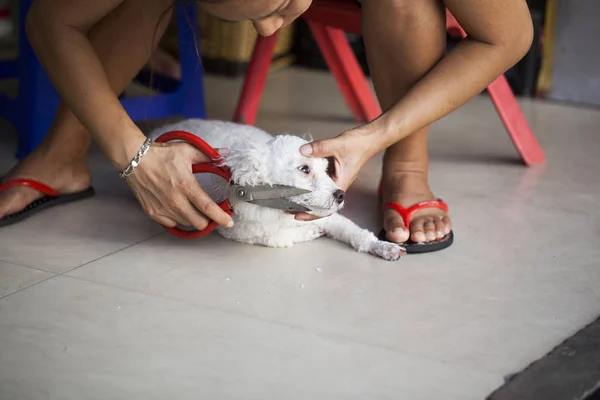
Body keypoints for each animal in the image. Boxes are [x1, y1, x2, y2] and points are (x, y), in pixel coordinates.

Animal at [148, 119, 406, 262]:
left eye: (326, 170)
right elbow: (283, 237)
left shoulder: (326, 215)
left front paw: (382, 246)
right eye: (304, 169)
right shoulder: (245, 231)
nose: (340, 194)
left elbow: (354, 231)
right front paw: (311, 232)